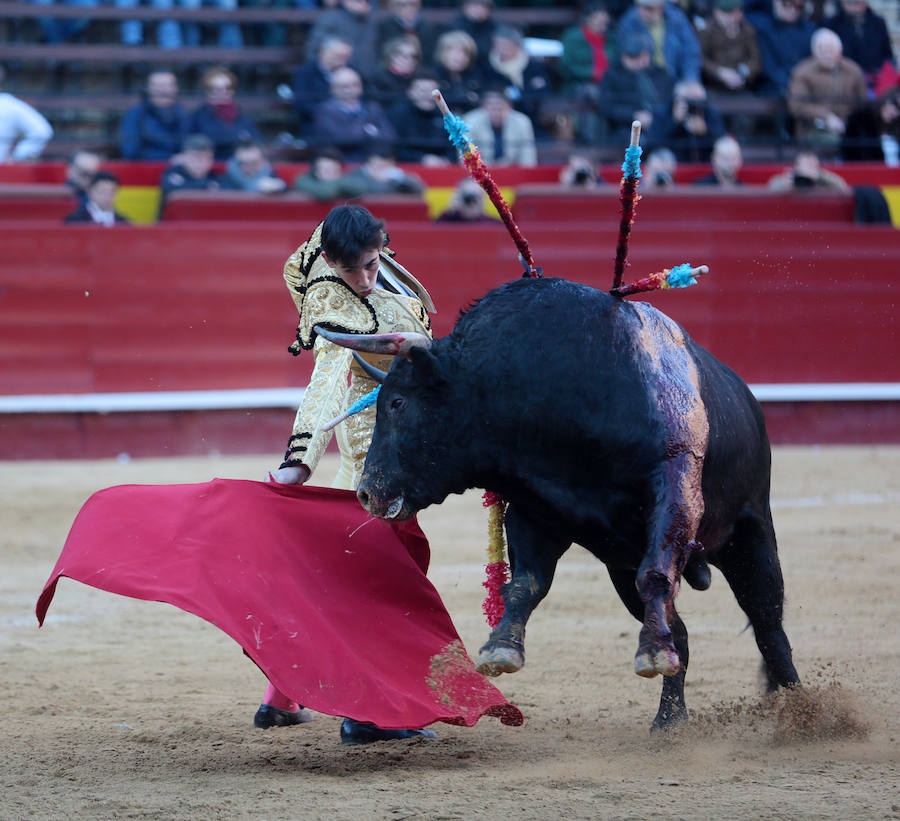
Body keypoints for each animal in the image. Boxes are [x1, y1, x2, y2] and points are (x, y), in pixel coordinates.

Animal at [318, 278, 800, 732]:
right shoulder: (535, 509)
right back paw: (669, 719)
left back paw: (799, 711)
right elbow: (525, 583)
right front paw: (500, 648)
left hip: (752, 535)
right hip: (621, 565)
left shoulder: (675, 485)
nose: (366, 492)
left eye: (398, 403)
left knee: (767, 623)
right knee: (678, 628)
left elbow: (658, 572)